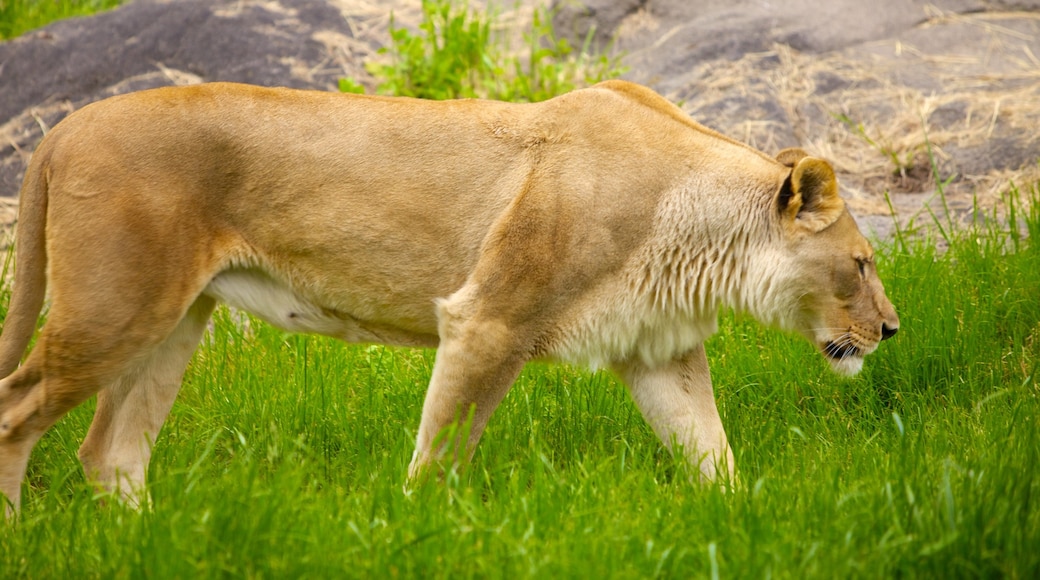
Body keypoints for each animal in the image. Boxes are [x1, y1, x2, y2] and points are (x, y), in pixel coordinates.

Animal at [0, 80, 898, 513]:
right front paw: (417, 528)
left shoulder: (659, 350)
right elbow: (438, 457)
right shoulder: (488, 321)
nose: (891, 330)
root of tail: (65, 126)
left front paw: (743, 525)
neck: (699, 231)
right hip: (114, 308)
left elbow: (713, 452)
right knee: (18, 411)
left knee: (110, 453)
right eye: (860, 263)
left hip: (172, 319)